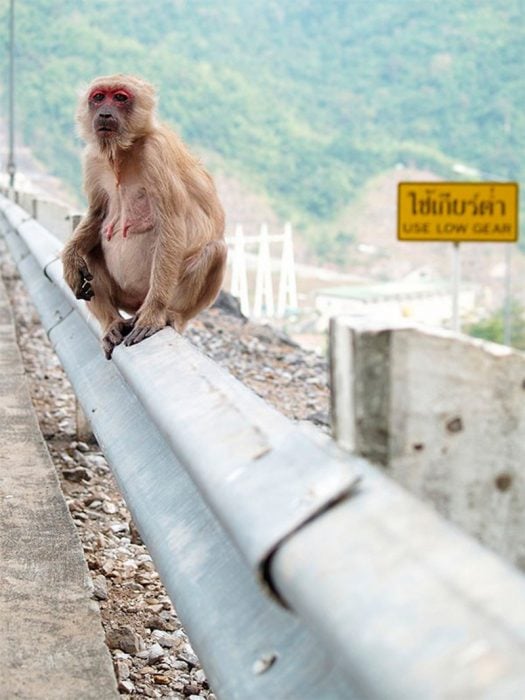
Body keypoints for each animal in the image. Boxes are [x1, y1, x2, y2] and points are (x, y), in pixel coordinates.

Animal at [61, 74, 225, 358]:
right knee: (90, 250)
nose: (105, 113)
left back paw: (171, 314)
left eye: (120, 98)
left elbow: (172, 226)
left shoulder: (157, 152)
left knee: (215, 250)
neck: (122, 151)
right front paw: (69, 260)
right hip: (124, 298)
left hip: (156, 293)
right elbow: (97, 215)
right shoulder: (92, 158)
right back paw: (111, 323)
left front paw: (154, 315)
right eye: (98, 97)